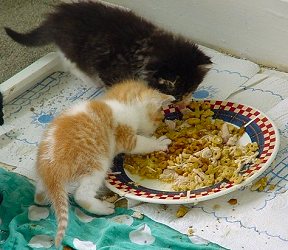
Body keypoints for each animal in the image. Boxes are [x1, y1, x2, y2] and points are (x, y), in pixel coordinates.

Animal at [5, 1, 212, 100]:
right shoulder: (108, 69)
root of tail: (56, 17)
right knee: (71, 64)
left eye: (191, 89)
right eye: (176, 91)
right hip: (74, 49)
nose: (179, 101)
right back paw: (92, 80)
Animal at [33, 79, 174, 246]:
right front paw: (159, 142)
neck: (119, 101)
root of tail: (49, 166)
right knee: (81, 195)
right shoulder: (127, 136)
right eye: (159, 117)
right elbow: (142, 143)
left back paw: (42, 198)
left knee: (40, 195)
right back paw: (102, 208)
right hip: (96, 163)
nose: (158, 126)